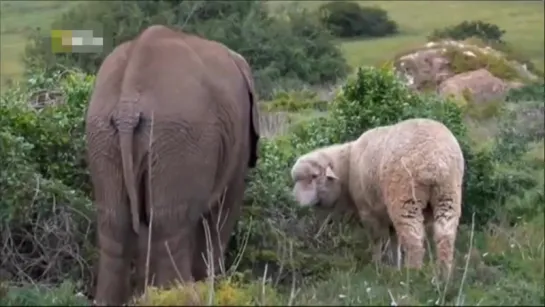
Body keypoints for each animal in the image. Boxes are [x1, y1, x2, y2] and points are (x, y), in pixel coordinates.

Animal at [86, 25, 260, 306]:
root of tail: (128, 102)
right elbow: (224, 207)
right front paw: (214, 286)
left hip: (105, 134)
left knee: (115, 224)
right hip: (178, 137)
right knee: (169, 226)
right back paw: (179, 295)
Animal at [288, 118, 464, 276]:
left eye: (314, 176)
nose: (295, 201)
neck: (348, 167)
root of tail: (434, 160)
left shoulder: (367, 211)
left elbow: (376, 240)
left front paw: (377, 266)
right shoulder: (389, 217)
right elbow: (394, 241)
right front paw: (395, 265)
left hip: (405, 199)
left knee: (414, 240)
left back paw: (413, 276)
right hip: (448, 195)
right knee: (445, 237)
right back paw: (443, 277)